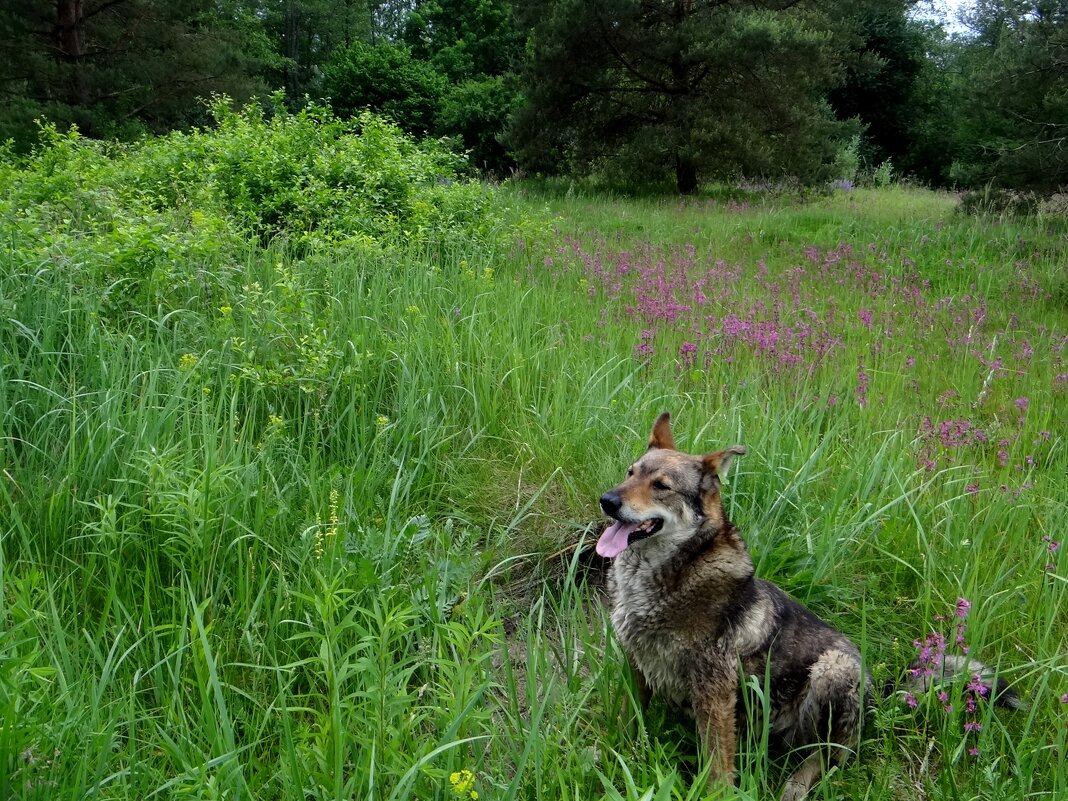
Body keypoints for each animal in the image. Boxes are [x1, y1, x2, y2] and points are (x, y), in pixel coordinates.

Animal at [598, 414, 1012, 801]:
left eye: (661, 486)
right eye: (630, 473)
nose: (608, 501)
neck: (668, 572)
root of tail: (880, 694)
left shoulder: (714, 689)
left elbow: (717, 763)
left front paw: (716, 792)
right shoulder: (637, 663)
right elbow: (629, 719)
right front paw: (617, 754)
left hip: (833, 670)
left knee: (830, 755)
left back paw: (796, 784)